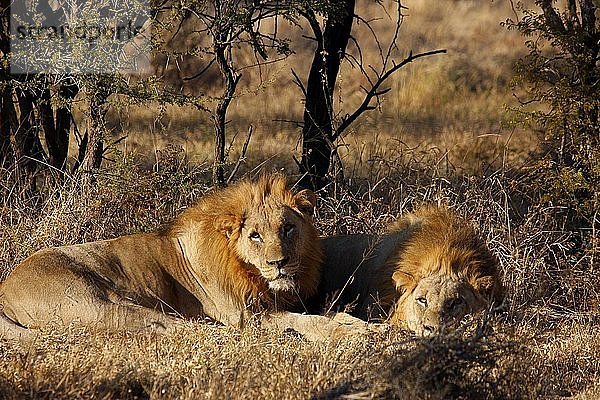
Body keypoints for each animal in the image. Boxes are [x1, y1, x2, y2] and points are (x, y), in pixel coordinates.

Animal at [0, 173, 368, 342]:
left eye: (288, 228)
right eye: (255, 235)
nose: (278, 263)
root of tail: (5, 289)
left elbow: (328, 315)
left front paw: (365, 326)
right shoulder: (248, 315)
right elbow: (310, 322)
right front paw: (350, 334)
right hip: (101, 303)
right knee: (175, 328)